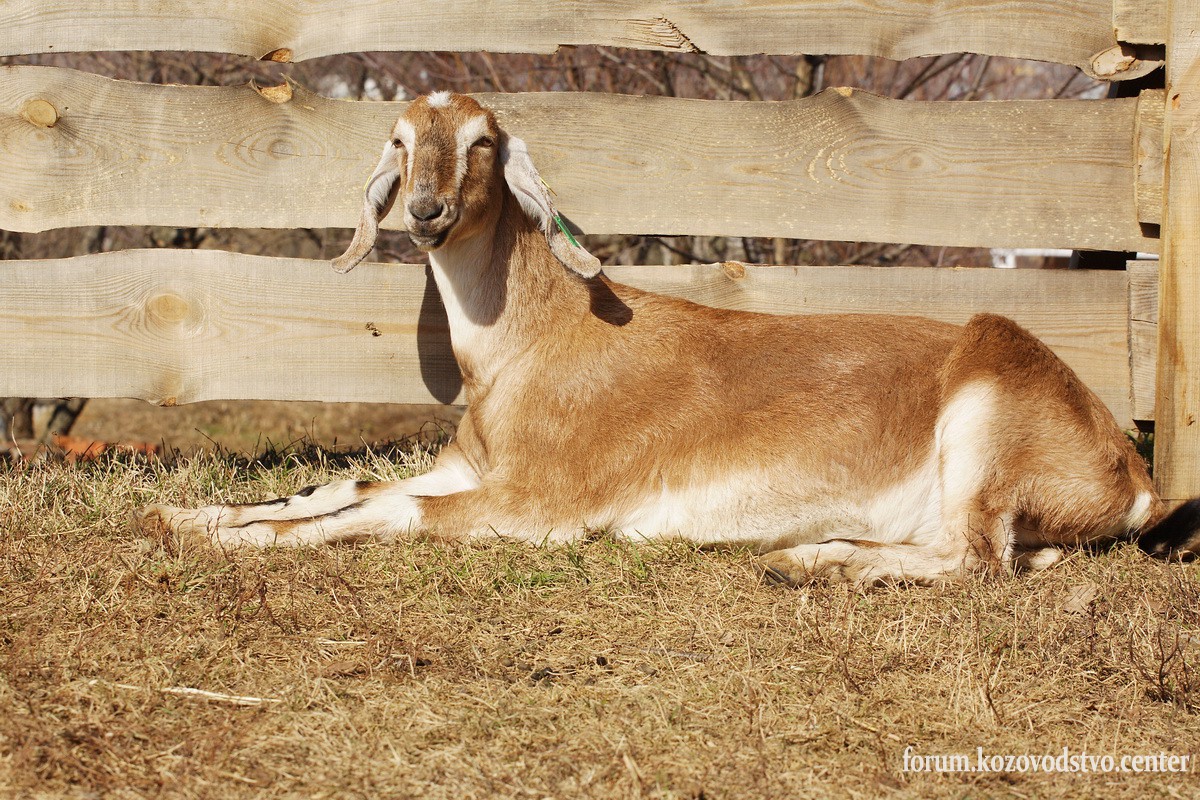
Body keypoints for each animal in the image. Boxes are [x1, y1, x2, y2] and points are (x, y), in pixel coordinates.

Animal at [141, 91, 1200, 584]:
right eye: (399, 142)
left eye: (482, 140)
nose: (426, 212)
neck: (531, 346)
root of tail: (1134, 476)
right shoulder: (470, 466)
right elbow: (352, 485)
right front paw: (189, 517)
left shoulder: (545, 504)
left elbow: (384, 510)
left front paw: (232, 539)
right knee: (989, 552)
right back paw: (810, 556)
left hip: (990, 392)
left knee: (982, 563)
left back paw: (821, 567)